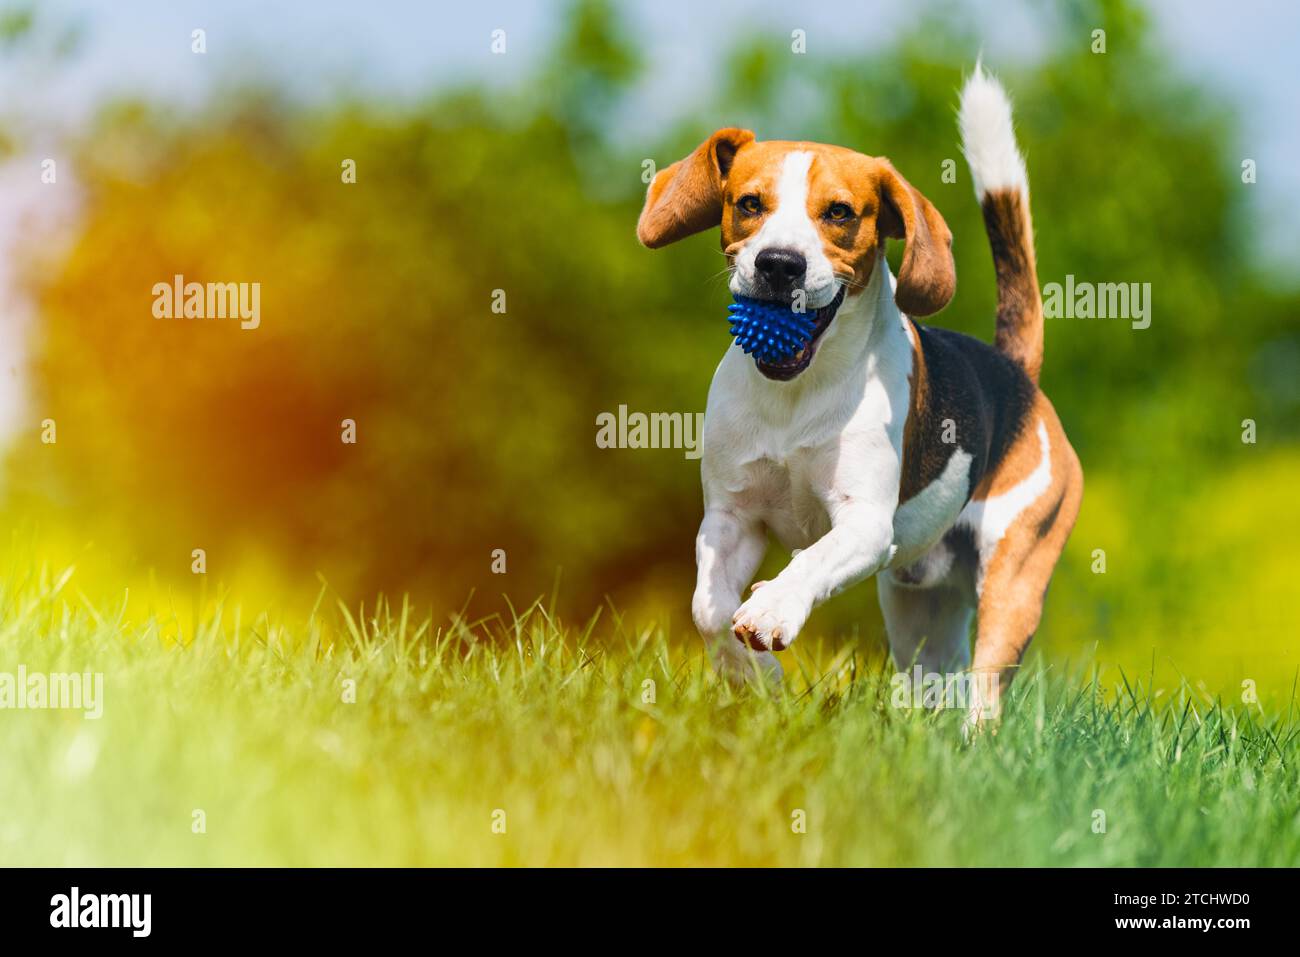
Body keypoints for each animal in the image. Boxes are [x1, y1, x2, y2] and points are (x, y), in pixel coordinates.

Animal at [634, 69, 1081, 722]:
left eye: (840, 213)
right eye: (750, 204)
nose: (780, 264)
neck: (794, 393)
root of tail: (1016, 373)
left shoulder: (865, 524)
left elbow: (811, 560)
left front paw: (770, 610)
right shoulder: (730, 517)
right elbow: (708, 610)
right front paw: (759, 678)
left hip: (1014, 575)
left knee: (984, 689)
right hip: (917, 601)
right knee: (935, 676)